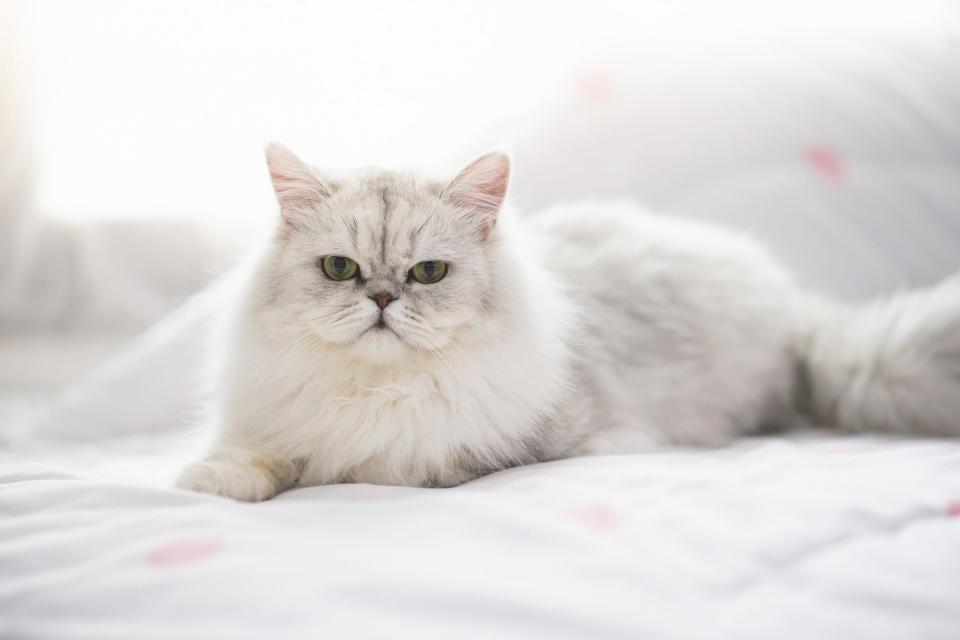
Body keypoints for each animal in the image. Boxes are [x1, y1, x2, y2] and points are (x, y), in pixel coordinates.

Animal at [174, 144, 960, 500]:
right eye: (341, 269)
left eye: (427, 274)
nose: (384, 301)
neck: (379, 392)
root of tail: (799, 307)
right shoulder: (280, 418)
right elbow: (260, 456)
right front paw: (212, 481)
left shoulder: (516, 447)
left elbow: (398, 465)